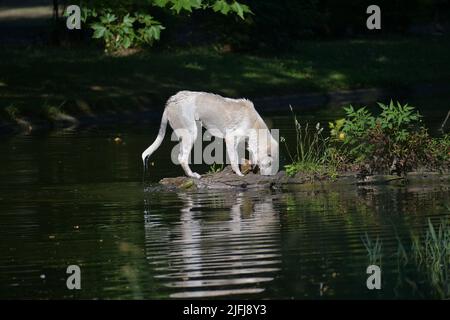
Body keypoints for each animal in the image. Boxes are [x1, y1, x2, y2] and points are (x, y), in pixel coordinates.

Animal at [142, 91, 280, 179]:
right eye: (269, 163)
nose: (268, 177)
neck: (254, 123)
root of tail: (170, 102)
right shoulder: (230, 138)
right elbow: (234, 159)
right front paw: (239, 174)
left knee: (181, 157)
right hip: (191, 133)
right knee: (182, 159)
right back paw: (193, 176)